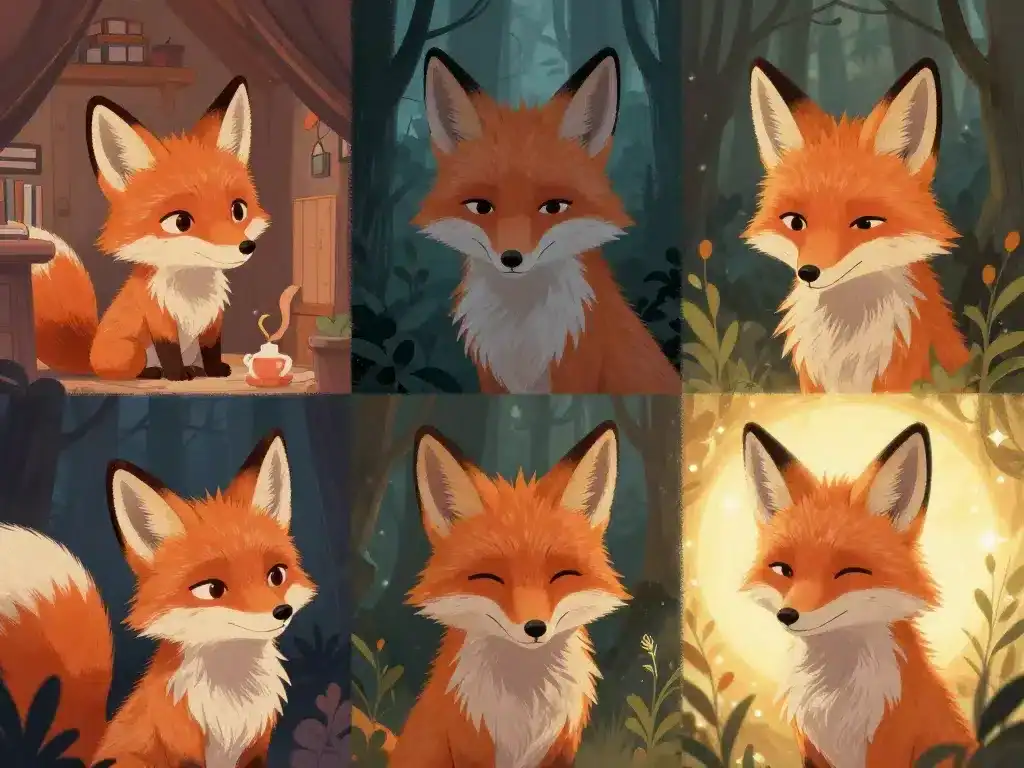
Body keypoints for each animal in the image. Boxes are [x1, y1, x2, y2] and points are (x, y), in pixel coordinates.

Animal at [0, 430, 316, 768]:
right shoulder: (182, 747)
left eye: (276, 575)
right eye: (212, 589)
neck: (233, 697)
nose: (281, 611)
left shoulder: (254, 749)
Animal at [29, 76, 269, 381]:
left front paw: (214, 371)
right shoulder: (158, 317)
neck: (193, 288)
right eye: (180, 221)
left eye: (238, 210)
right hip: (130, 351)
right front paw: (176, 375)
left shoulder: (213, 320)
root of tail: (91, 357)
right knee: (126, 370)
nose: (246, 246)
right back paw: (153, 372)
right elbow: (169, 349)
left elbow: (212, 348)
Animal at [353, 421, 629, 768]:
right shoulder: (470, 748)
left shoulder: (559, 751)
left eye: (561, 575)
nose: (535, 628)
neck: (526, 704)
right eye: (490, 578)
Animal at [740, 420, 974, 768]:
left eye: (848, 572)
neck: (834, 697)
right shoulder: (812, 749)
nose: (787, 615)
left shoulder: (889, 743)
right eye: (783, 570)